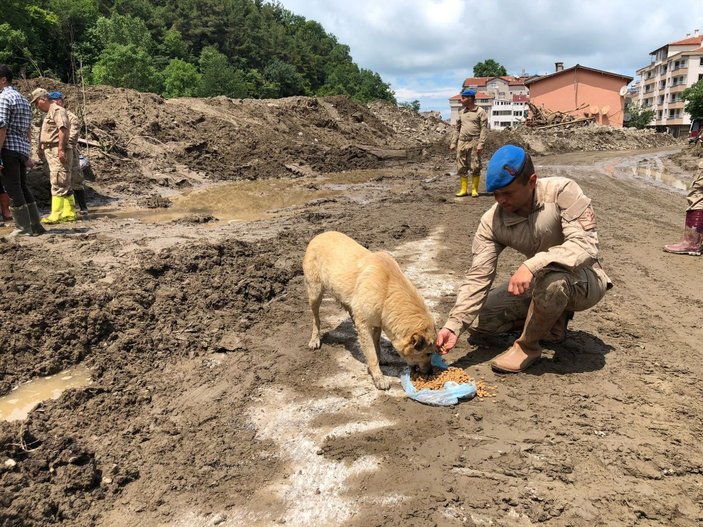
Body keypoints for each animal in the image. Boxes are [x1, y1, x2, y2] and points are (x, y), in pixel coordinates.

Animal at [304, 230, 438, 388]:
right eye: (428, 354)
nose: (430, 373)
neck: (388, 292)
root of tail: (320, 234)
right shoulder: (365, 325)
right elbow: (371, 354)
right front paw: (378, 377)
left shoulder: (379, 322)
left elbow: (376, 343)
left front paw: (380, 358)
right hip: (315, 293)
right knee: (316, 318)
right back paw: (315, 339)